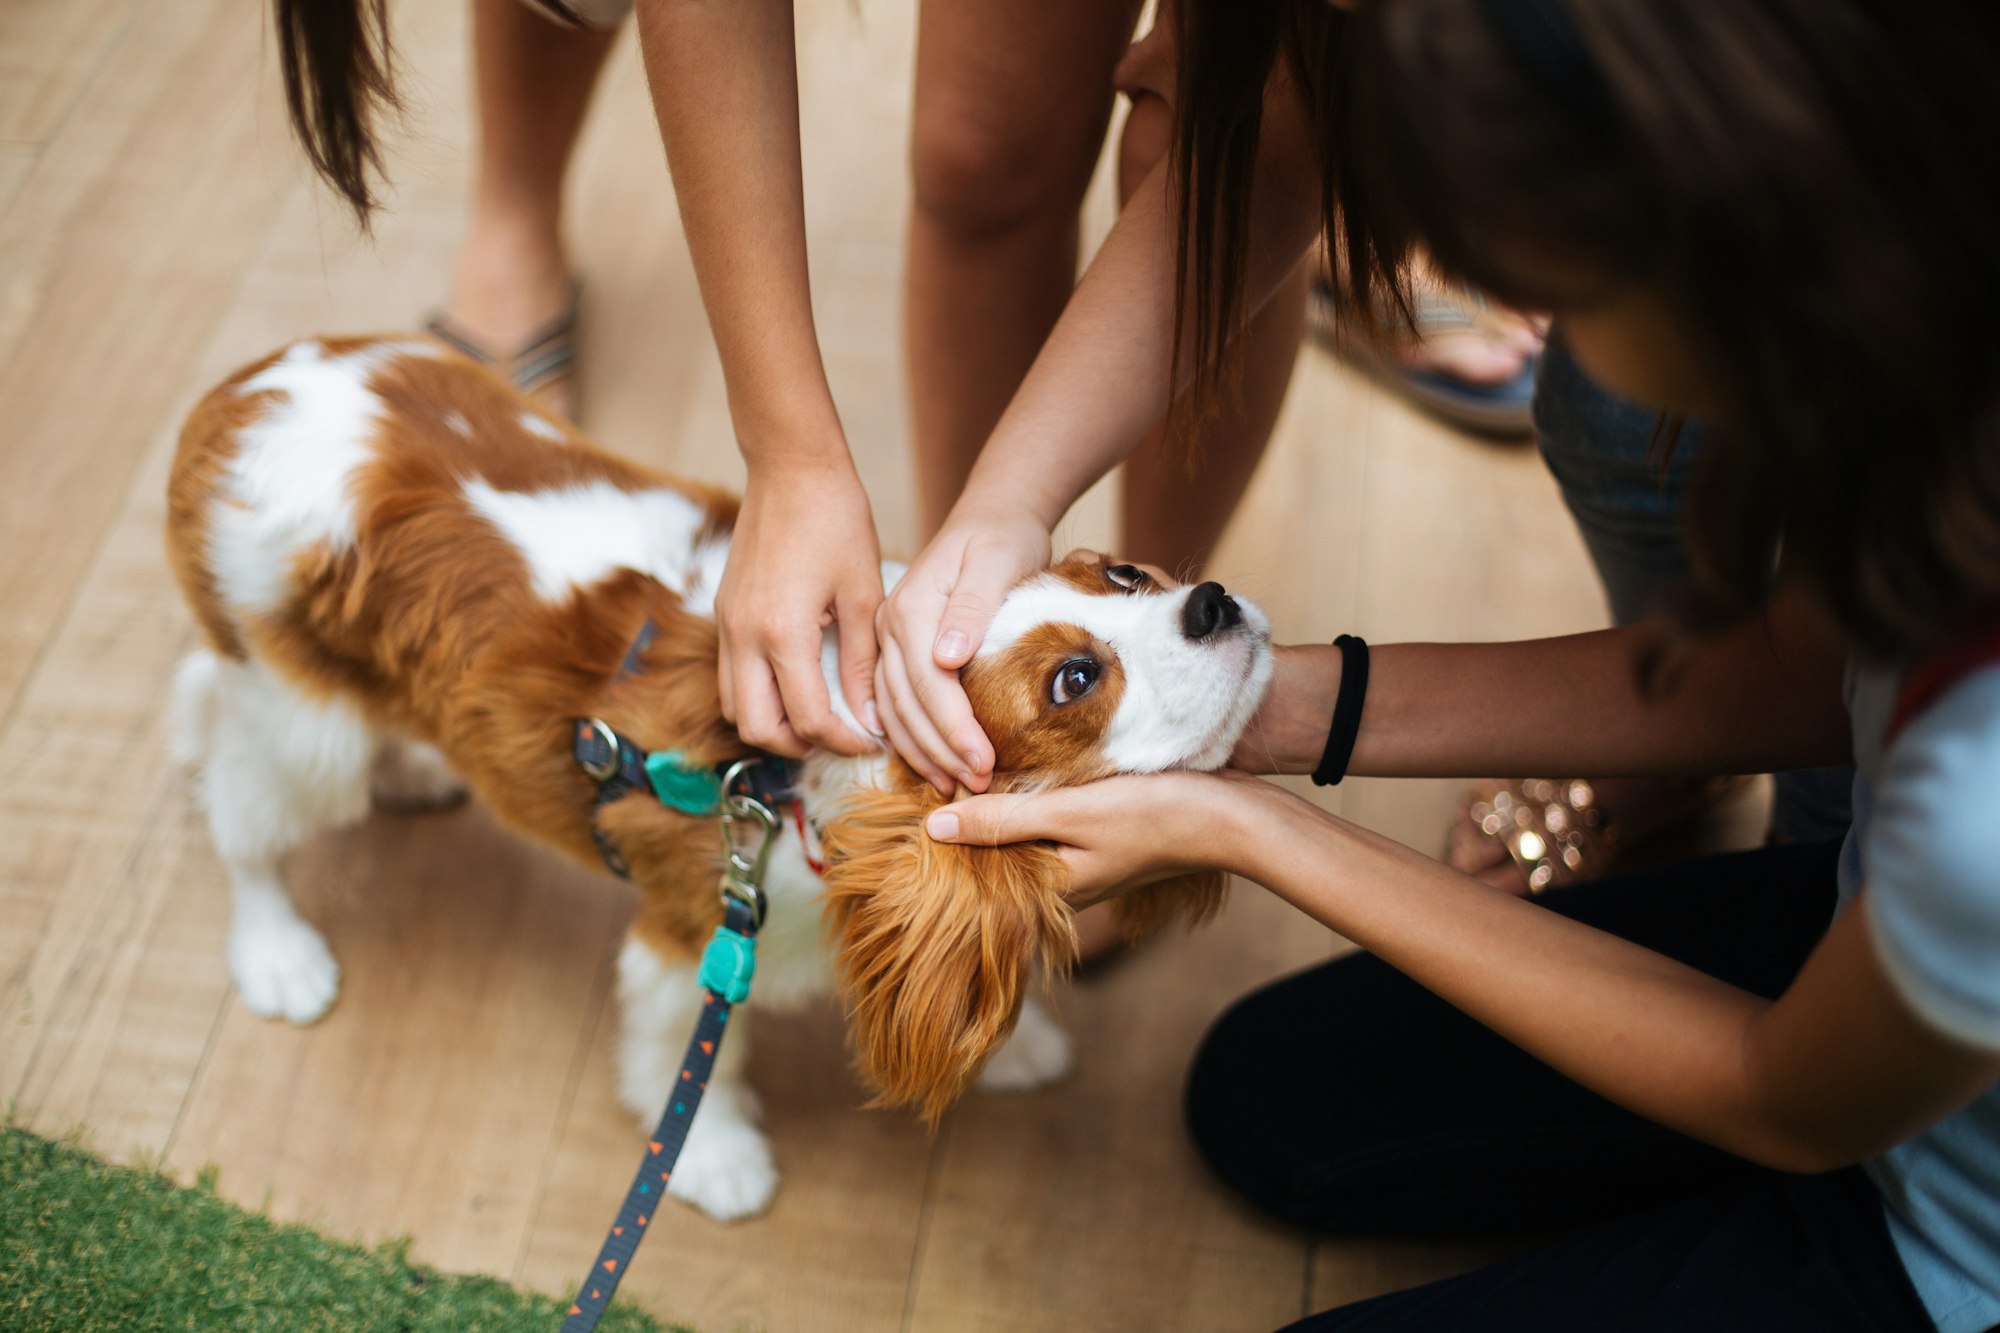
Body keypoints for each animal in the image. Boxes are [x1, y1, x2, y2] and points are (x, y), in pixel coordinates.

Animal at [168, 332, 1264, 1216]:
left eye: (1124, 574)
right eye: (1074, 678)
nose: (1211, 600)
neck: (795, 778)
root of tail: (241, 392)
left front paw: (1020, 1038)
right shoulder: (693, 932)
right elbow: (690, 1055)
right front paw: (716, 1158)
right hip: (305, 723)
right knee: (240, 809)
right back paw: (276, 951)